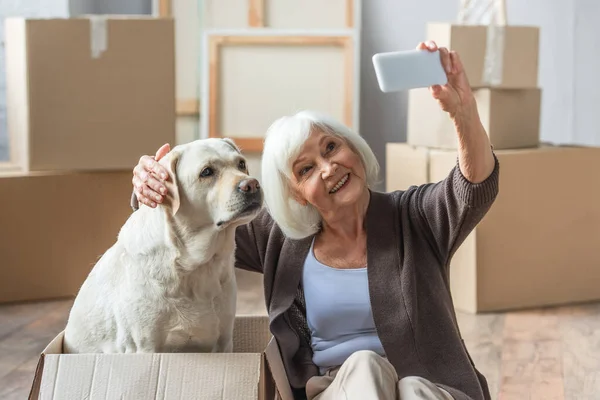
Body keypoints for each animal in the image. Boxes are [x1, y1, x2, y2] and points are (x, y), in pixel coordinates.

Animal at [63, 138, 262, 354]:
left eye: (241, 164)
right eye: (207, 172)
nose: (252, 184)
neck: (195, 267)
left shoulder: (224, 341)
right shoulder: (144, 348)